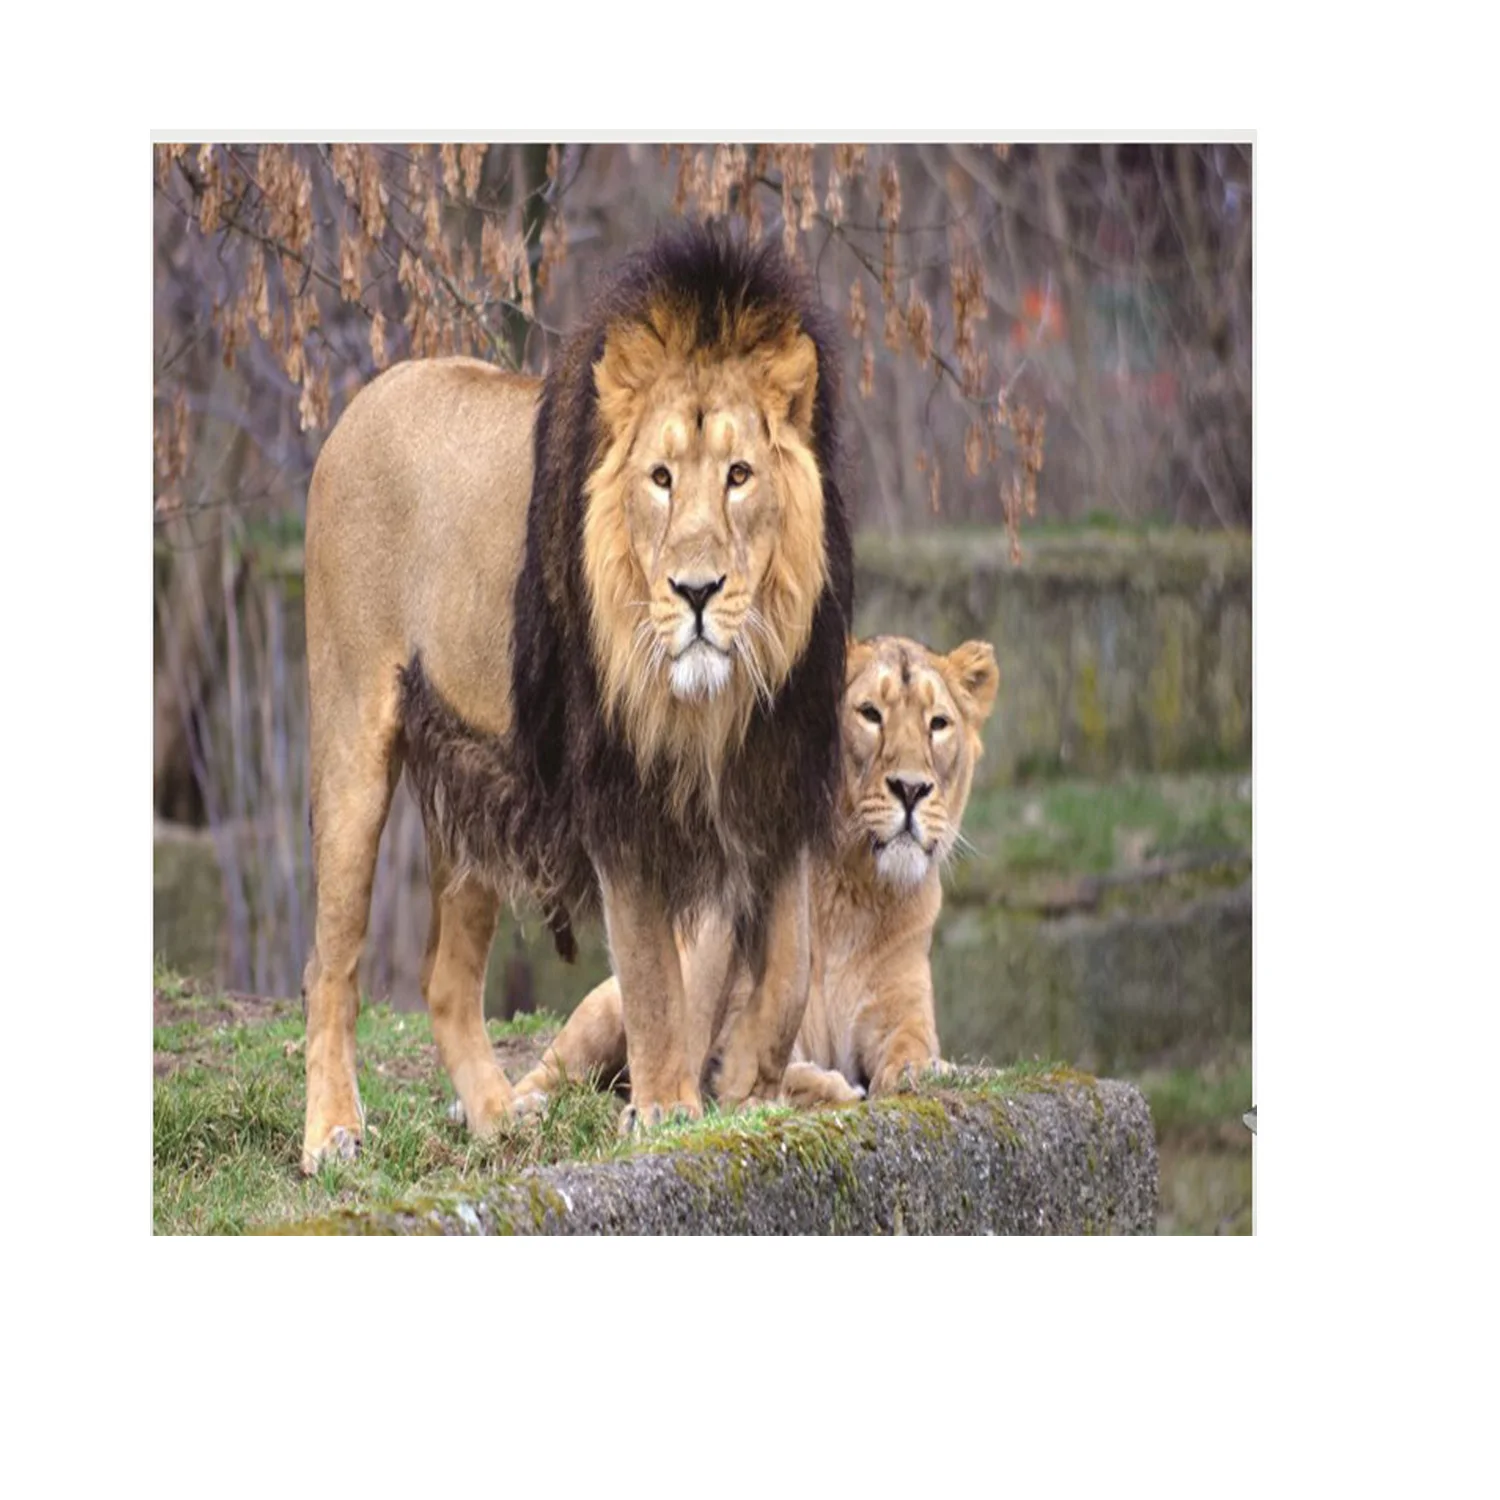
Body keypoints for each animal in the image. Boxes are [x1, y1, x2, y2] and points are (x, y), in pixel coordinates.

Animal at [299, 227, 852, 1172]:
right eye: (660, 478)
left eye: (740, 474)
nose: (696, 591)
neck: (716, 700)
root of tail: (363, 399)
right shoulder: (617, 795)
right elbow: (655, 977)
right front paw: (665, 1111)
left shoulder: (774, 778)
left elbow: (789, 966)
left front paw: (750, 1084)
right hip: (349, 748)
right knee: (328, 967)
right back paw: (333, 1131)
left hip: (477, 784)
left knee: (446, 982)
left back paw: (499, 1119)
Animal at [508, 634, 1000, 1112]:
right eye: (870, 714)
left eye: (938, 723)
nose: (911, 789)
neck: (854, 886)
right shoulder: (740, 1024)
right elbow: (777, 1072)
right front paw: (827, 1087)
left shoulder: (902, 1013)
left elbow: (912, 1049)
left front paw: (929, 1071)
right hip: (605, 1012)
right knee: (551, 1069)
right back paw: (524, 1106)